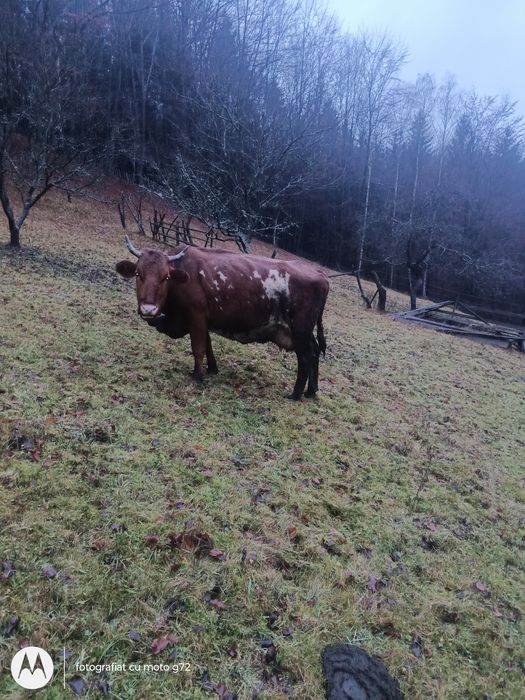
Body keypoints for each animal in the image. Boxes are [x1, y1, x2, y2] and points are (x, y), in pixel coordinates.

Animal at [116, 236, 329, 400]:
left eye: (165, 277)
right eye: (138, 274)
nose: (149, 309)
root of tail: (319, 272)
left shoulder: (196, 317)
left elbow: (198, 348)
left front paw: (197, 376)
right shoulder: (203, 320)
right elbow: (208, 344)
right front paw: (212, 369)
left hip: (300, 330)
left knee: (305, 357)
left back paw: (296, 394)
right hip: (305, 332)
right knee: (315, 352)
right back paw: (311, 391)